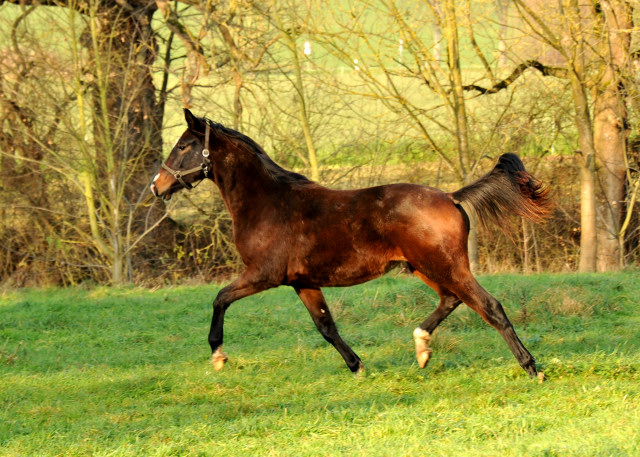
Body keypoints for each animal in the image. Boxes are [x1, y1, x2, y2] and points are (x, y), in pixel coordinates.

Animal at [150, 108, 552, 376]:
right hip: (425, 266)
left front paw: (218, 355)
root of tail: (451, 197)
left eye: (184, 145)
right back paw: (422, 348)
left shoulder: (263, 274)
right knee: (452, 299)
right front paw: (357, 366)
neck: (268, 202)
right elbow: (326, 327)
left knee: (489, 306)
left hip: (445, 265)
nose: (157, 186)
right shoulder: (302, 282)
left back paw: (532, 368)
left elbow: (220, 299)